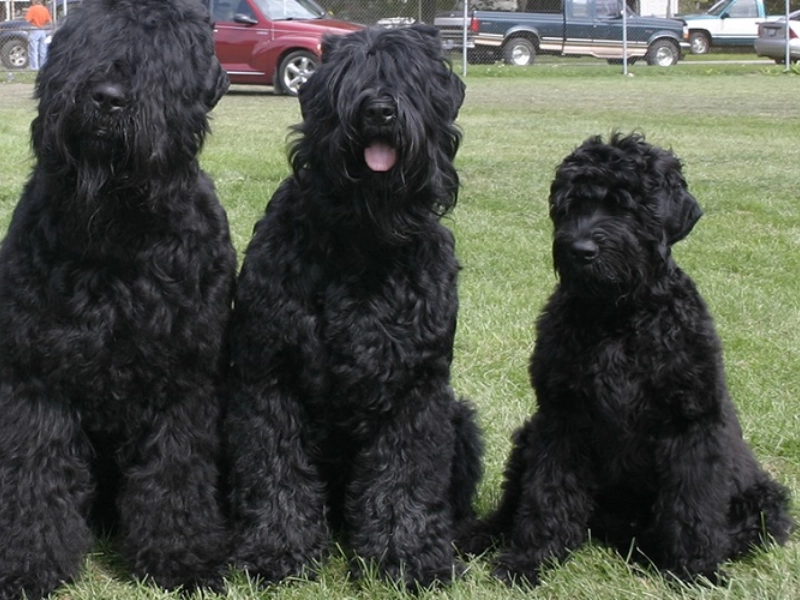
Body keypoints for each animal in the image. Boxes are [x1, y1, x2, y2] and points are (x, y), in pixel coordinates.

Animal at [0, 0, 234, 597]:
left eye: (166, 55)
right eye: (80, 43)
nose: (107, 97)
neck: (118, 234)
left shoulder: (184, 379)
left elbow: (176, 470)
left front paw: (182, 558)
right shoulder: (37, 377)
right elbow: (36, 471)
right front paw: (28, 561)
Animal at [225, 25, 483, 589]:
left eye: (411, 78)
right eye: (346, 80)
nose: (379, 111)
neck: (364, 242)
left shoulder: (416, 388)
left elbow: (406, 475)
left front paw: (409, 556)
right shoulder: (272, 377)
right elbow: (276, 467)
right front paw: (277, 550)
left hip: (462, 420)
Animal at [459, 133, 794, 585]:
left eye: (627, 205)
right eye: (571, 205)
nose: (581, 249)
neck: (618, 318)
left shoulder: (690, 424)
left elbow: (692, 506)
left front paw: (695, 570)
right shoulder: (562, 418)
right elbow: (547, 495)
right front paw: (531, 559)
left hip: (765, 498)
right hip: (529, 436)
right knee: (514, 504)